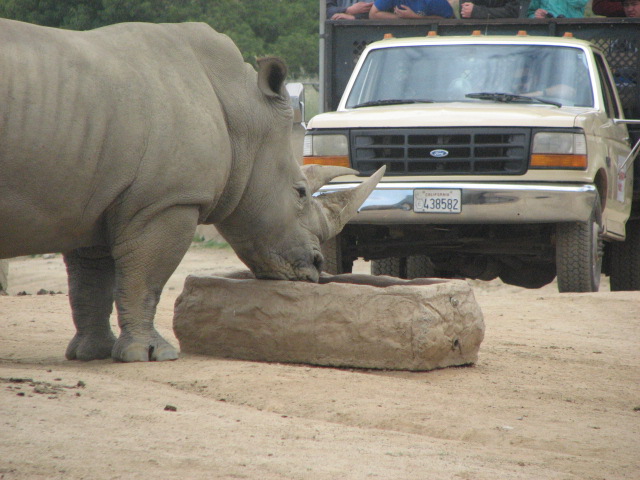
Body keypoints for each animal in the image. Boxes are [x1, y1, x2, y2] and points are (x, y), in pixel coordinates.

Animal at [0, 19, 383, 362]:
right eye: (301, 193)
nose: (317, 267)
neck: (242, 114)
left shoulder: (95, 194)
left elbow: (91, 280)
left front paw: (92, 354)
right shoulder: (166, 201)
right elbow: (146, 277)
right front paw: (151, 354)